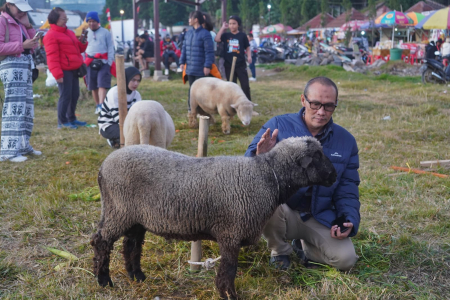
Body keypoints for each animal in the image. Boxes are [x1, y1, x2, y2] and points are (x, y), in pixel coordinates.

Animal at [91, 137, 336, 298]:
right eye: (317, 156)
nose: (334, 176)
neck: (266, 175)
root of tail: (103, 166)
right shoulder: (231, 233)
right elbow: (229, 270)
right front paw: (228, 294)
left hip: (135, 217)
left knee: (131, 244)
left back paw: (137, 276)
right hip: (118, 210)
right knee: (101, 241)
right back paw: (104, 281)